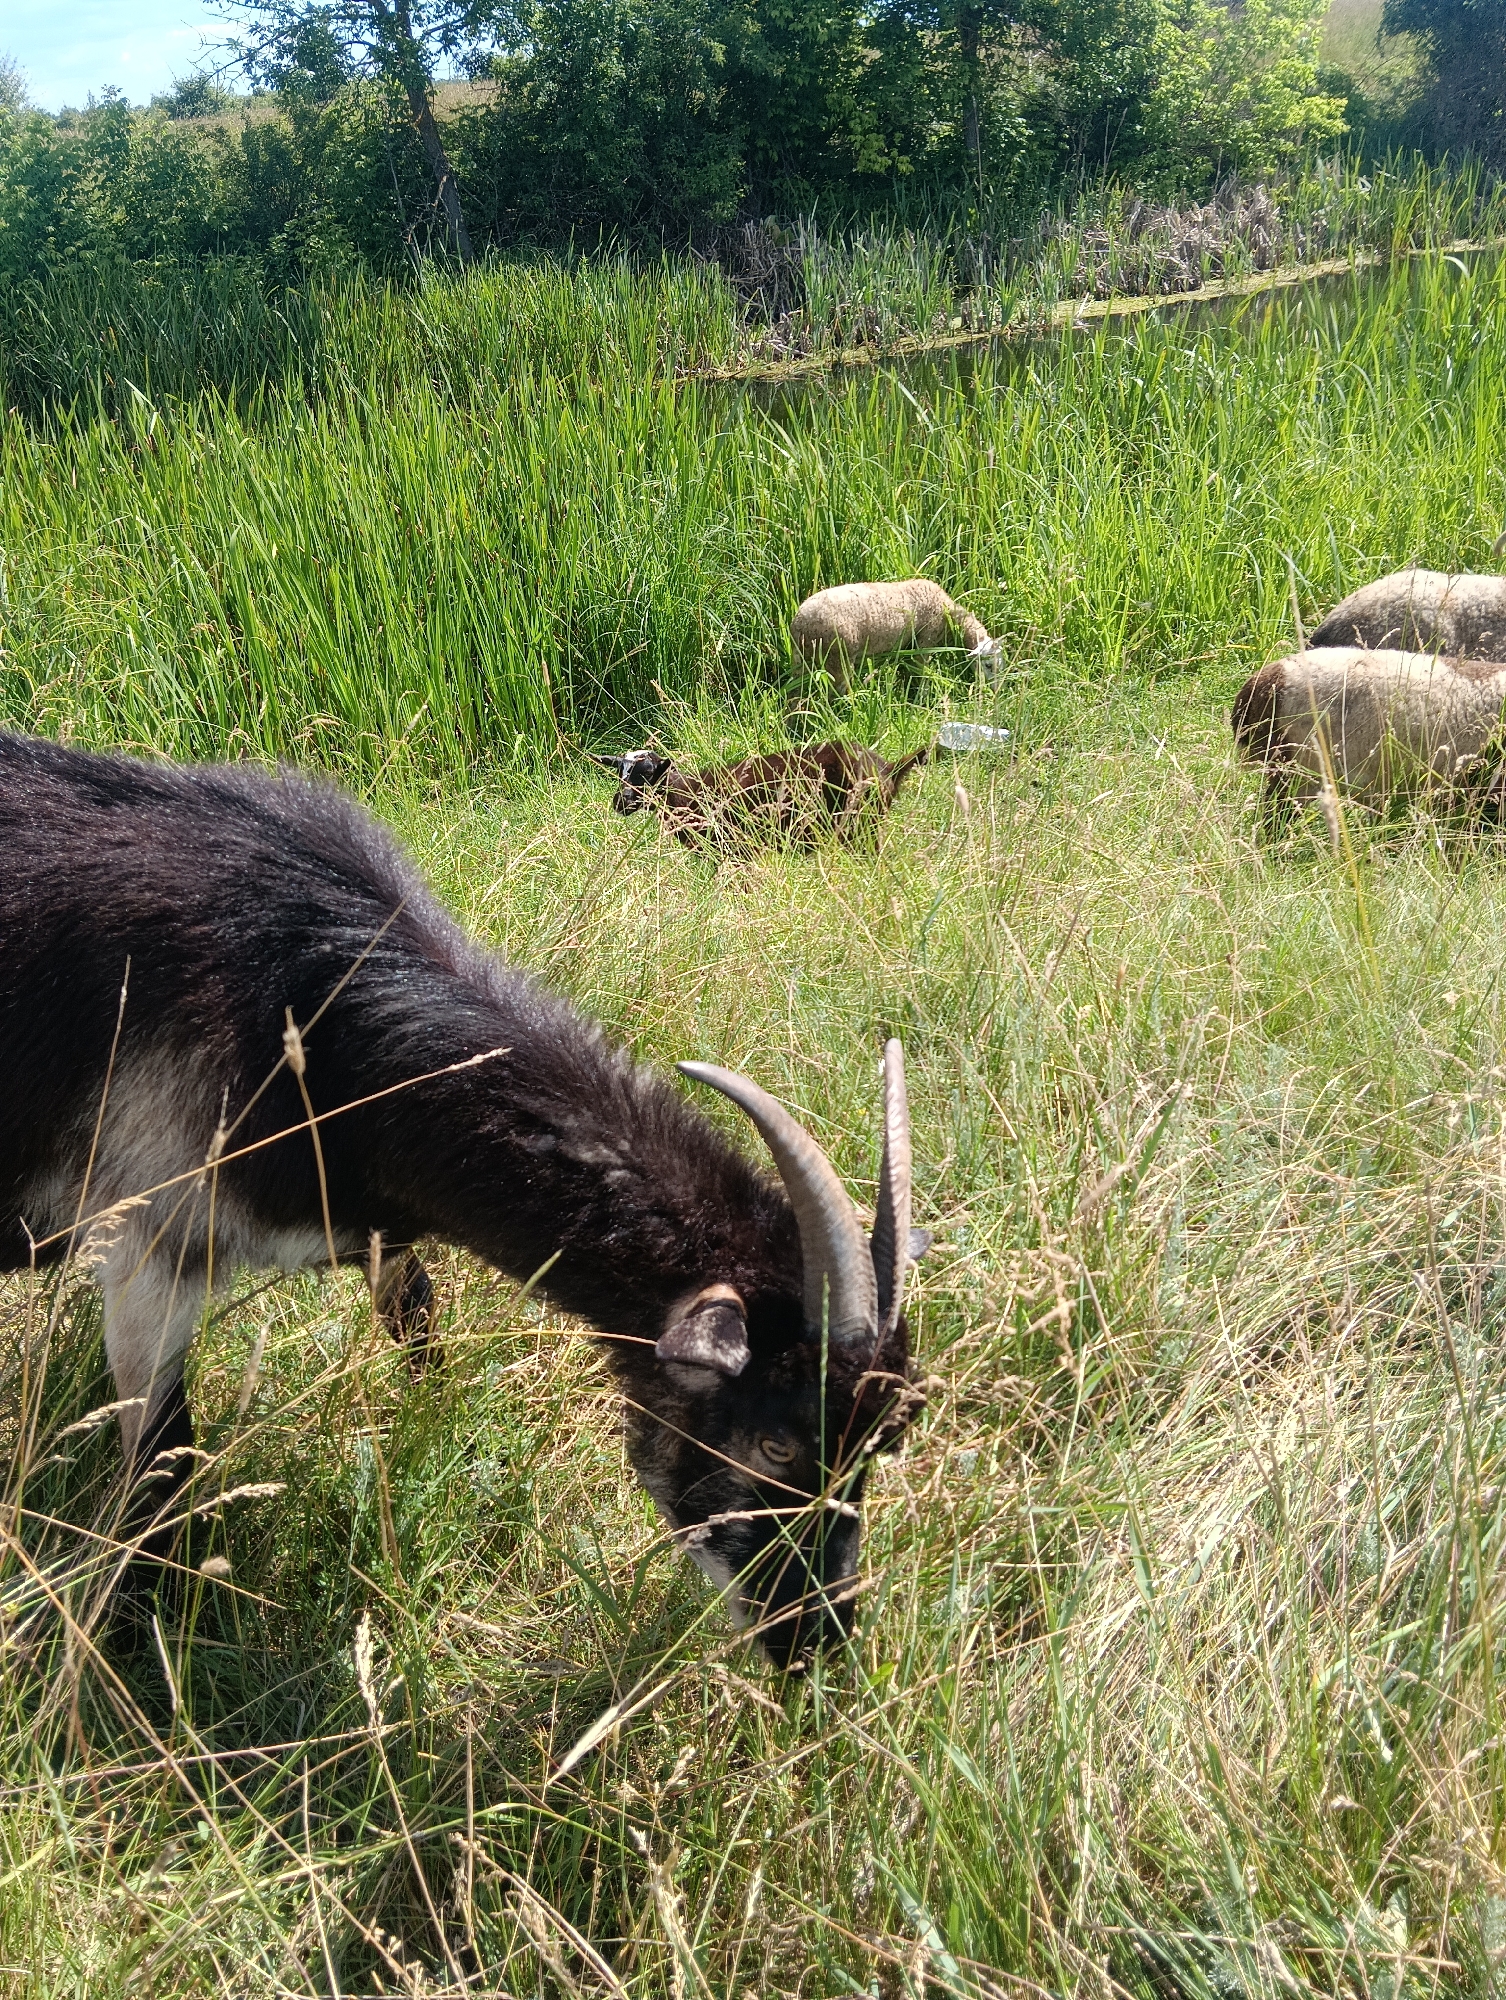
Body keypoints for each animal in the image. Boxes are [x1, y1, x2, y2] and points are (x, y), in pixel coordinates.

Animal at [790, 581, 999, 688]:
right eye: (988, 665)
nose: (996, 690)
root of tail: (800, 624)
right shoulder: (926, 639)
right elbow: (920, 670)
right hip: (839, 656)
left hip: (800, 660)